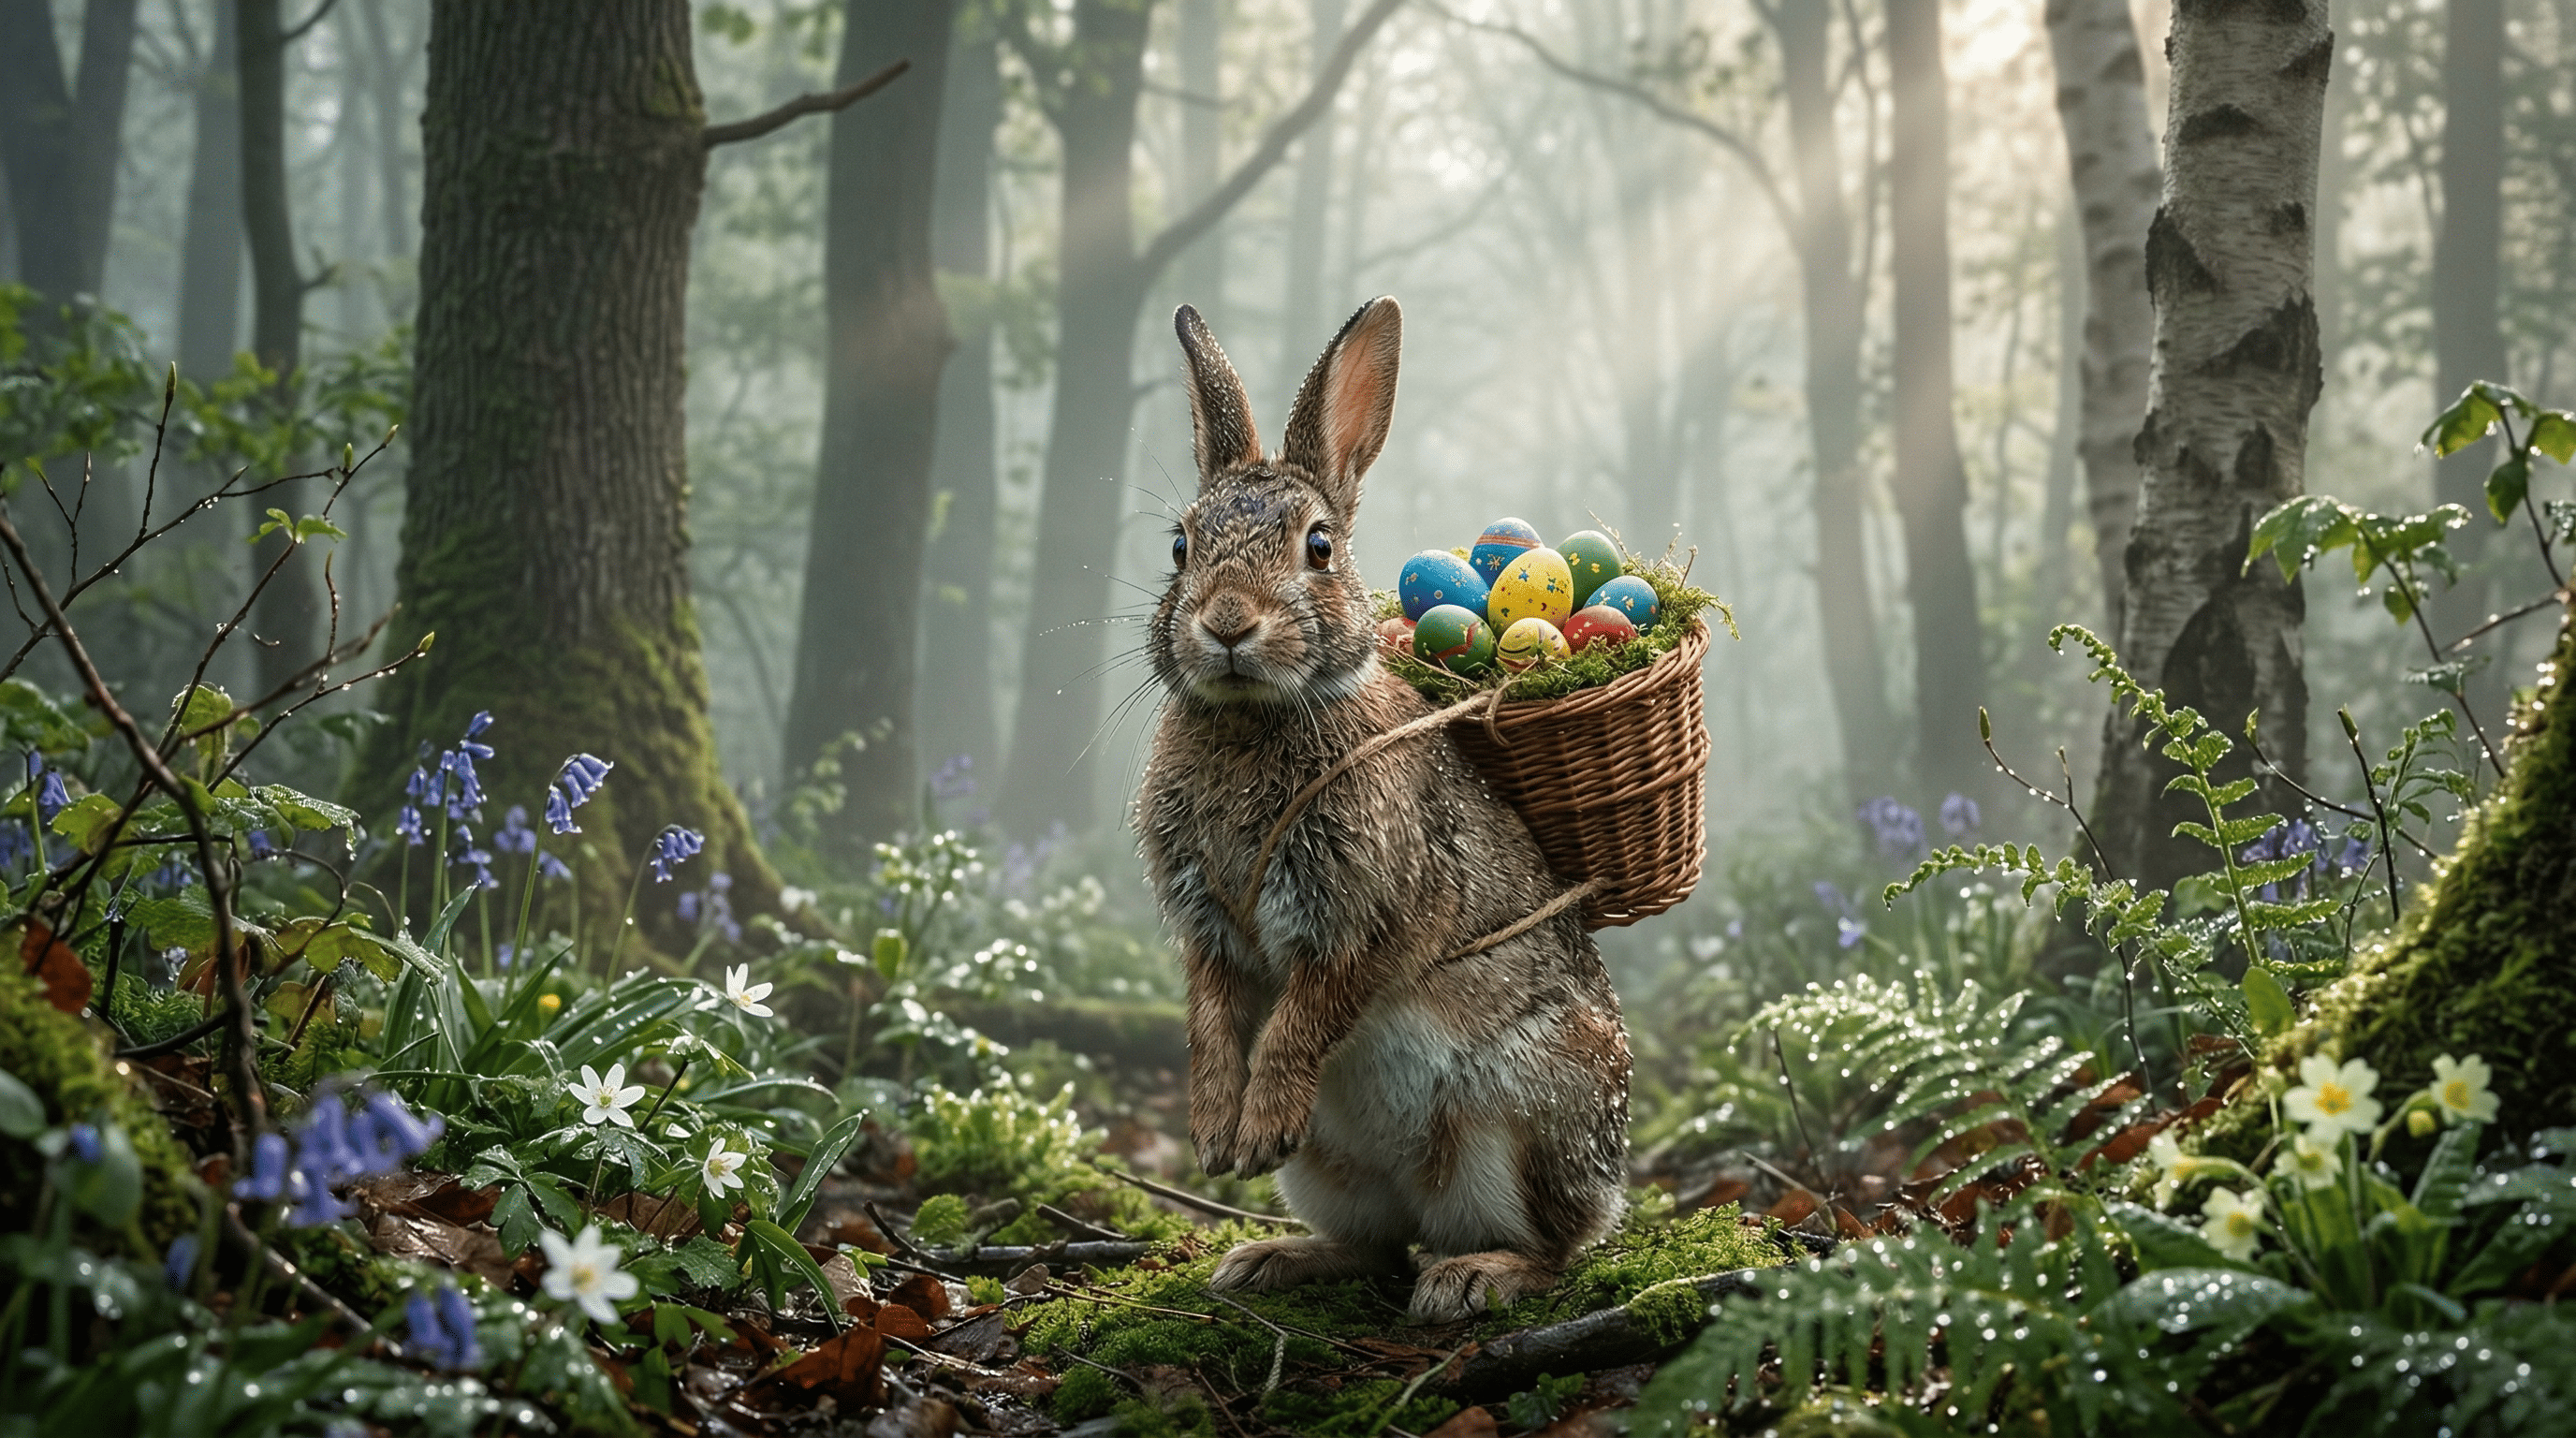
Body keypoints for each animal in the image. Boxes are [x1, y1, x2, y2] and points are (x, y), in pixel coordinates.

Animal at [1134, 296, 1632, 1324]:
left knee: (1558, 1248)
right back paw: (1271, 1258)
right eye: (1180, 546)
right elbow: (1211, 1019)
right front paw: (1215, 1138)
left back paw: (1475, 1277)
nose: (1227, 623)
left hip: (1525, 1118)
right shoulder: (1207, 928)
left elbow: (1304, 1017)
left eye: (1319, 548)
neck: (1255, 717)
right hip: (1331, 1172)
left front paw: (1254, 1128)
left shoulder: (1361, 914)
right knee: (1372, 1247)